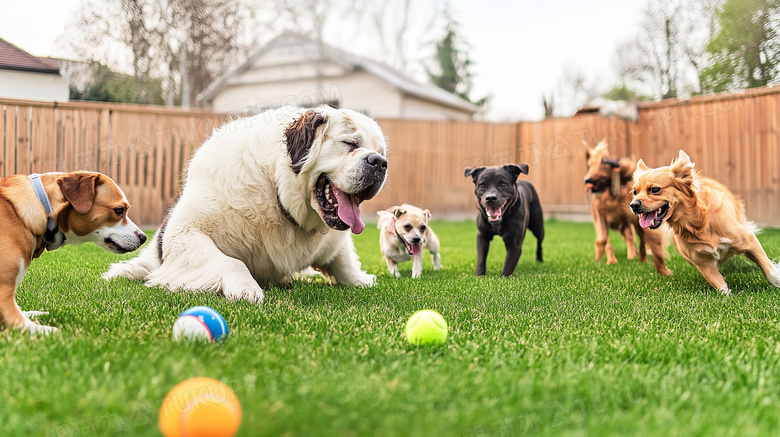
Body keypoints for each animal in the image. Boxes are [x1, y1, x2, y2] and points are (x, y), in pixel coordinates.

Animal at [105, 105, 390, 304]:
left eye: (381, 152)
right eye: (350, 144)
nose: (379, 163)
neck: (276, 191)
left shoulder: (333, 242)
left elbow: (343, 261)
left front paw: (360, 279)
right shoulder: (184, 231)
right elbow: (232, 262)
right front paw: (245, 288)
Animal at [584, 141, 672, 274]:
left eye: (604, 165)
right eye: (589, 166)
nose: (587, 180)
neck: (611, 195)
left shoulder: (636, 219)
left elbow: (645, 239)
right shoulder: (600, 216)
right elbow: (603, 239)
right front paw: (608, 260)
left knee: (637, 239)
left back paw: (638, 257)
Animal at [632, 148, 780, 294]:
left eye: (655, 189)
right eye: (634, 192)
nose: (633, 205)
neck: (699, 224)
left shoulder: (749, 241)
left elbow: (770, 271)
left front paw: (776, 282)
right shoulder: (703, 263)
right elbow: (721, 287)